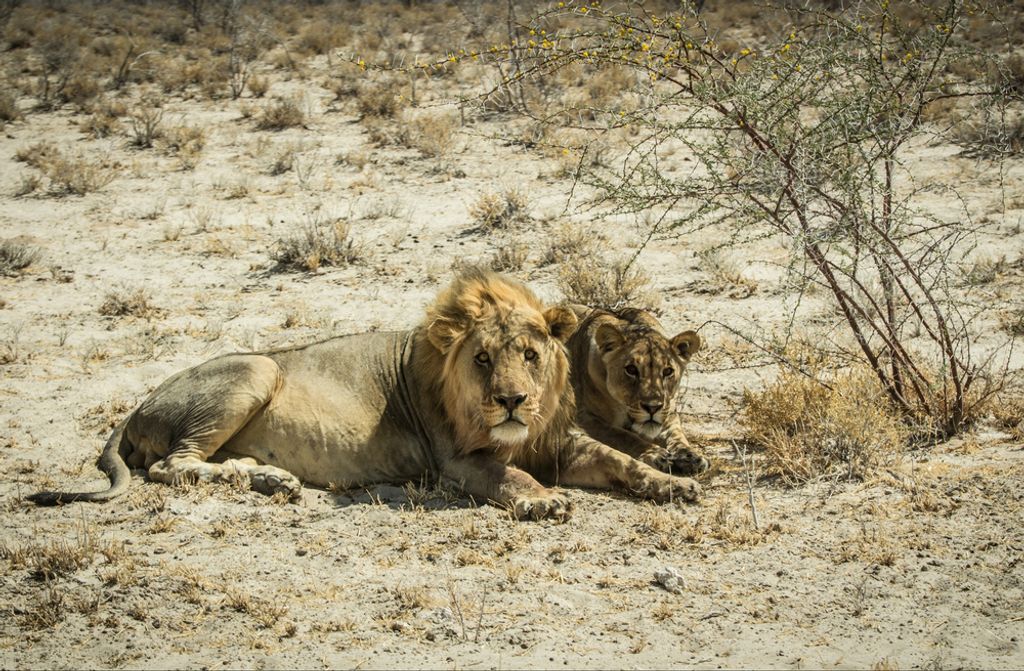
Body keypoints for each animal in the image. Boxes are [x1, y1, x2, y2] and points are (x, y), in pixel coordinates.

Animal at [566, 305, 710, 476]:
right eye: (631, 370)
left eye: (667, 371)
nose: (653, 408)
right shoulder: (584, 416)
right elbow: (623, 436)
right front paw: (656, 454)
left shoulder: (669, 413)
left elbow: (676, 435)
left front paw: (690, 456)